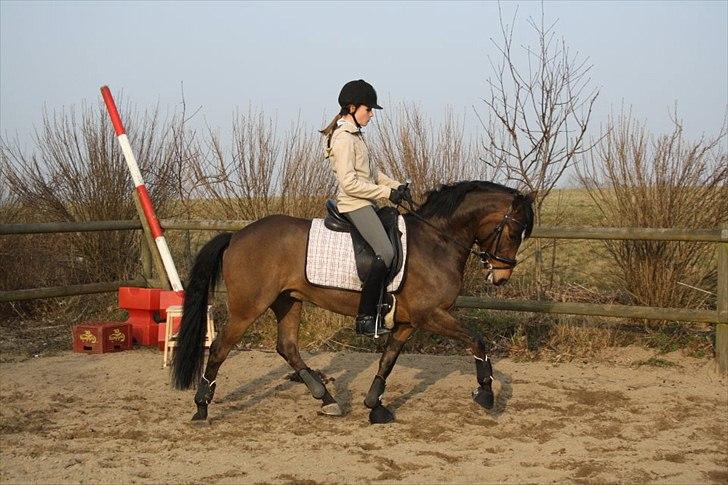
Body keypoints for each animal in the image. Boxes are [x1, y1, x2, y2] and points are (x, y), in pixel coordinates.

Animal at [171, 180, 535, 424]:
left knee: (287, 347)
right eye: (513, 233)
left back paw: (327, 400)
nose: (501, 277)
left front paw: (376, 405)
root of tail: (237, 235)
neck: (436, 240)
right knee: (220, 347)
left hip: (288, 301)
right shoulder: (431, 314)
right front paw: (485, 393)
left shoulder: (408, 321)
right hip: (248, 308)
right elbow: (477, 339)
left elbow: (388, 360)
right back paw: (201, 406)